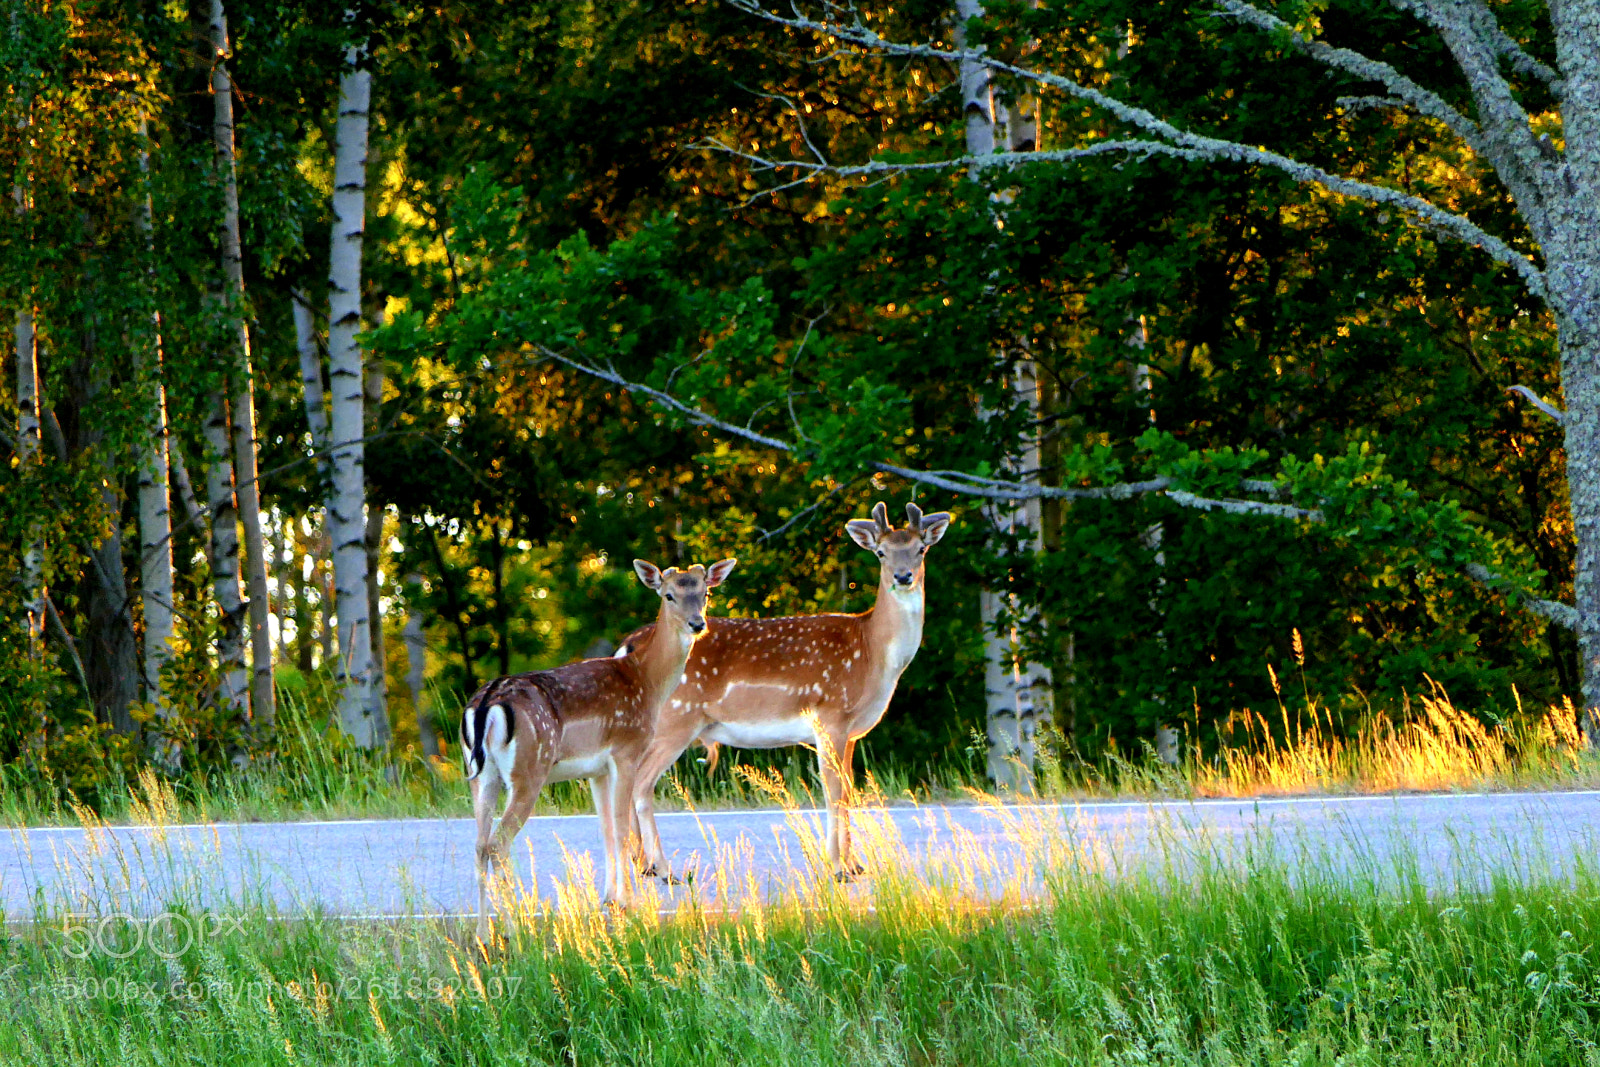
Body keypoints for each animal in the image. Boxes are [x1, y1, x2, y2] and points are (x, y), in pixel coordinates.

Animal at [464, 556, 736, 940]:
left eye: (705, 593)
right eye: (668, 595)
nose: (697, 624)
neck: (646, 681)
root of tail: (486, 703)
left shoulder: (596, 770)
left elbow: (606, 829)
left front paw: (609, 900)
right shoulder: (627, 750)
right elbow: (623, 829)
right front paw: (630, 904)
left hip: (481, 775)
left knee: (478, 844)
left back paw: (482, 933)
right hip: (529, 769)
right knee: (497, 844)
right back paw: (514, 928)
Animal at [617, 505, 947, 883]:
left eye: (921, 549)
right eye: (881, 552)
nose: (903, 576)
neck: (872, 651)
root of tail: (628, 647)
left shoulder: (852, 732)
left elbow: (849, 790)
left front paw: (855, 864)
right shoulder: (831, 715)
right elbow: (833, 792)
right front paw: (838, 868)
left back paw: (642, 863)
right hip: (676, 720)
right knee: (641, 783)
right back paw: (660, 867)